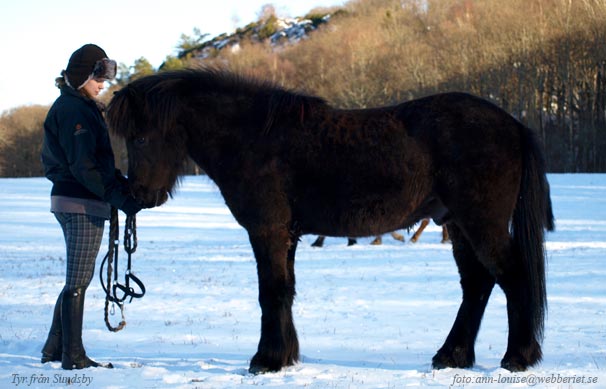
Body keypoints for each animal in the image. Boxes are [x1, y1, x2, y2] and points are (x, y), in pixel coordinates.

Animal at [108, 69, 556, 372]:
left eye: (141, 137)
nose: (139, 196)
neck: (254, 139)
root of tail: (513, 124)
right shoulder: (287, 235)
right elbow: (285, 291)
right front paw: (286, 356)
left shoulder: (267, 232)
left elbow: (270, 293)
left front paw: (266, 360)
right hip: (458, 225)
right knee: (477, 285)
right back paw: (453, 356)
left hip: (482, 224)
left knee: (512, 277)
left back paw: (517, 357)